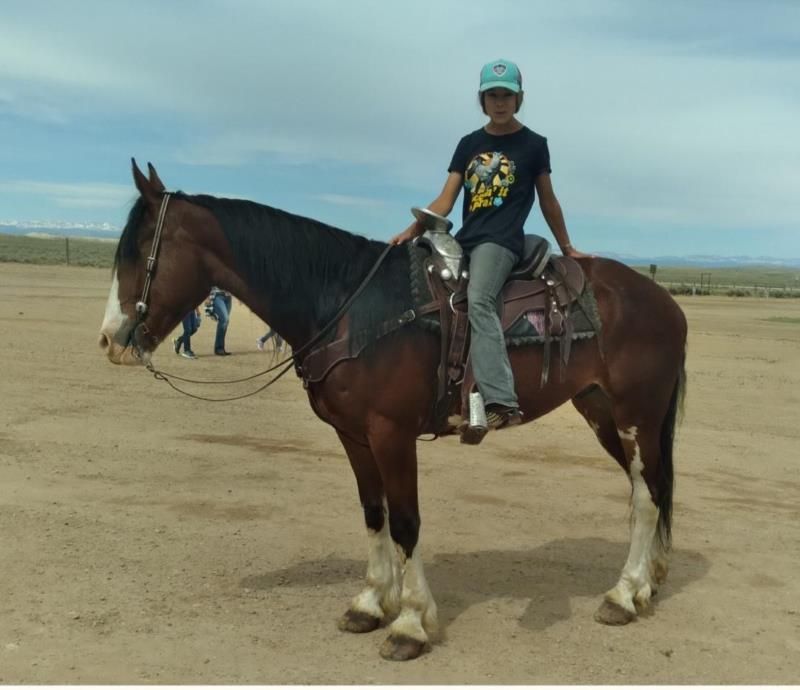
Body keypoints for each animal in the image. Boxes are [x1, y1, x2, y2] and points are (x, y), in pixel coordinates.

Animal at [98, 160, 687, 661]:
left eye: (137, 253)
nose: (109, 339)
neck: (349, 308)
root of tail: (664, 301)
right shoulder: (354, 436)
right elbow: (373, 513)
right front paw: (370, 604)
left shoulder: (391, 434)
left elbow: (406, 521)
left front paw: (409, 623)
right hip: (602, 413)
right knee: (649, 491)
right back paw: (647, 582)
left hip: (637, 415)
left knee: (647, 497)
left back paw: (622, 594)